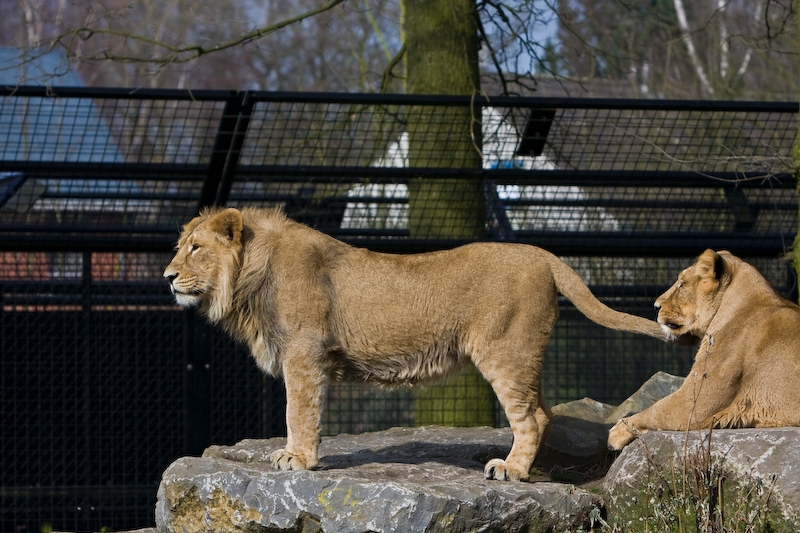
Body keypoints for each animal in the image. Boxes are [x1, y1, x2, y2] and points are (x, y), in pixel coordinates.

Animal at [164, 206, 671, 481]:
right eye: (178, 246)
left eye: (195, 247)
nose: (167, 277)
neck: (248, 277)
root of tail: (543, 254)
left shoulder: (304, 353)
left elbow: (299, 410)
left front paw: (297, 458)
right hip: (523, 354)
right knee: (543, 411)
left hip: (504, 350)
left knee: (529, 417)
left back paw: (510, 470)